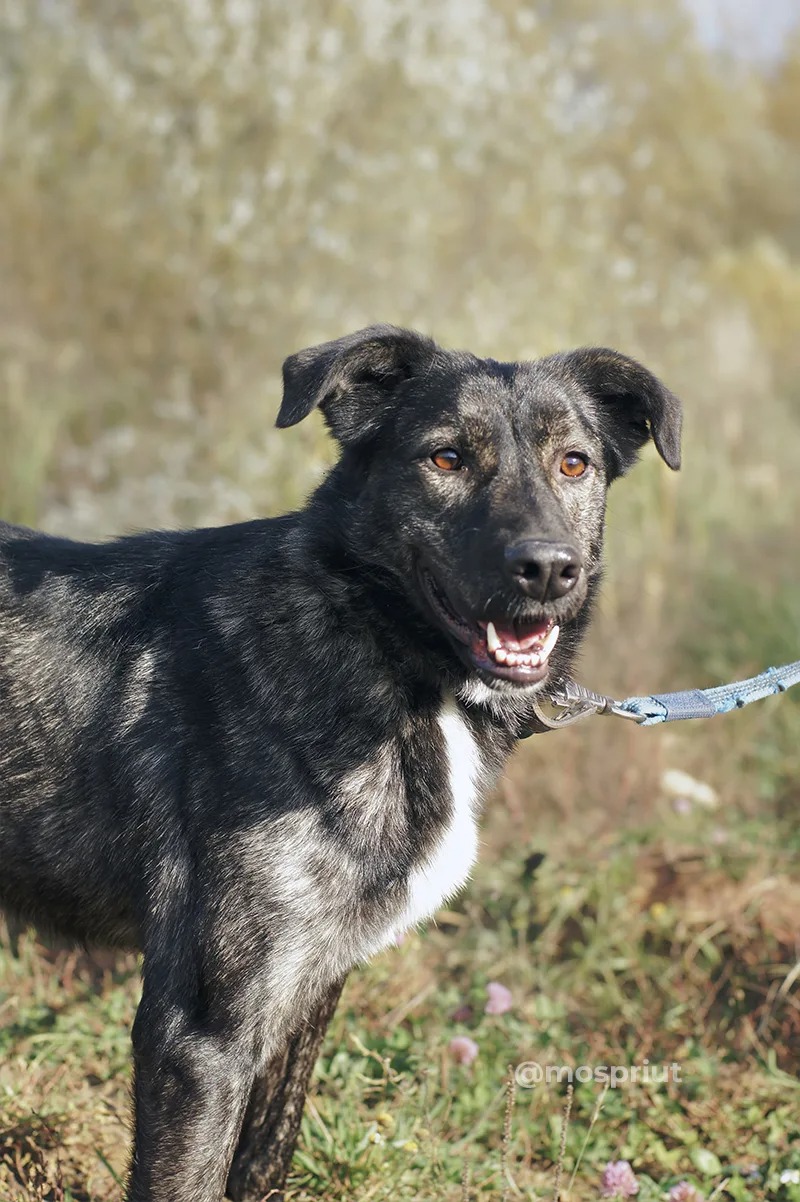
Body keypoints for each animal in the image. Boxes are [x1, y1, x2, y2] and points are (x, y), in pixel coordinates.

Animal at [0, 324, 677, 1197]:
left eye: (573, 463)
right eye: (446, 458)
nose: (548, 568)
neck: (381, 650)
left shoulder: (308, 988)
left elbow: (265, 1157)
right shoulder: (199, 1033)